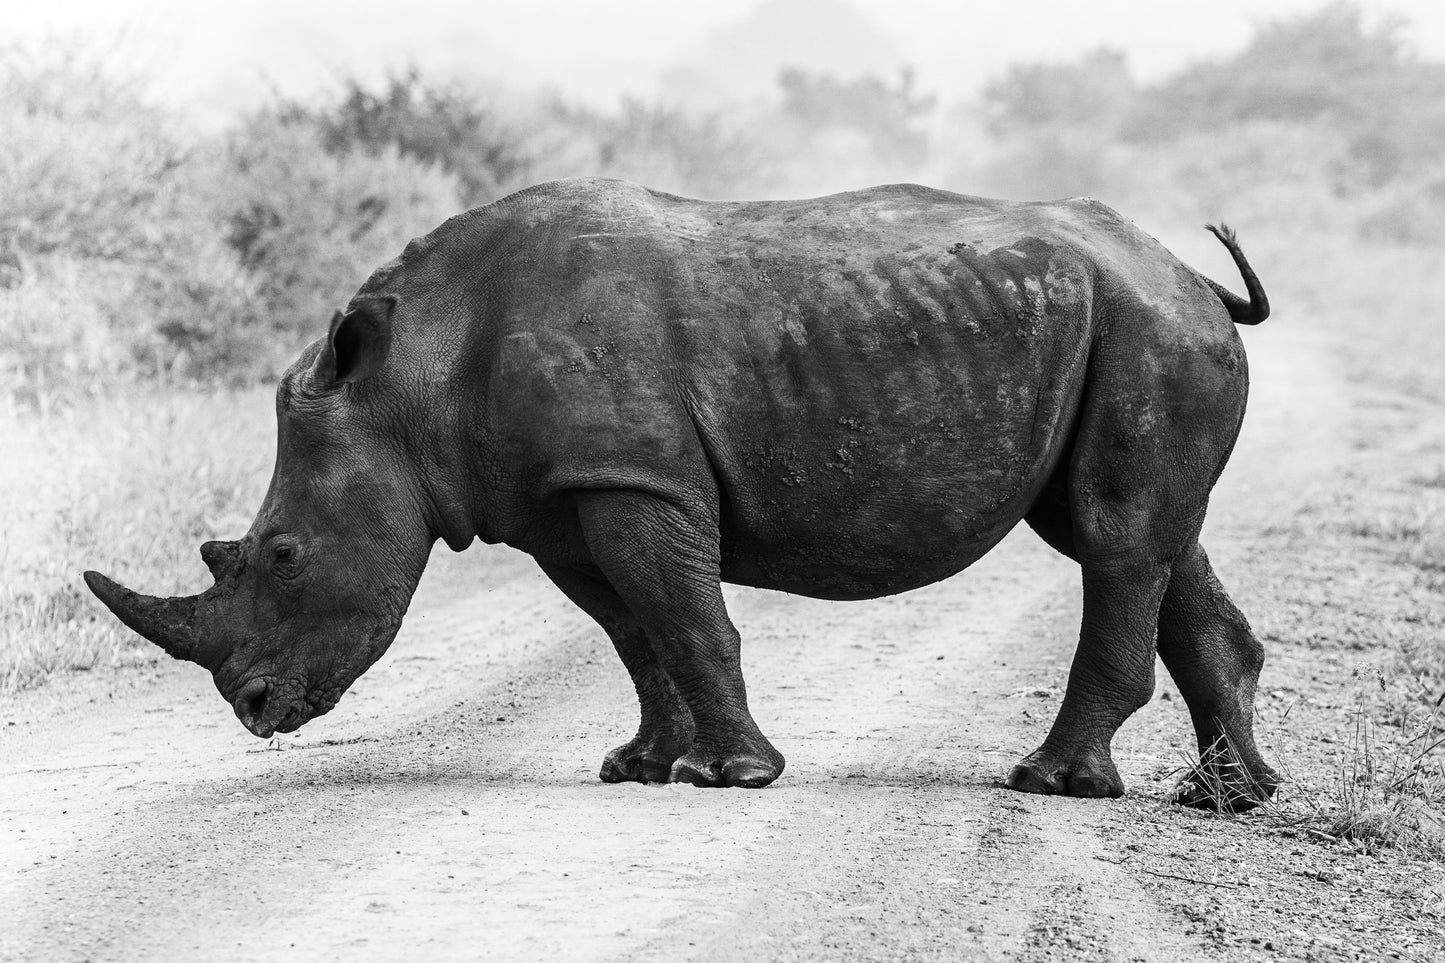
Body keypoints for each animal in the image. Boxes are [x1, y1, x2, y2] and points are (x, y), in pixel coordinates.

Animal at [86, 178, 1278, 809]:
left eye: (284, 556)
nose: (252, 710)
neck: (407, 380)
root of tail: (1191, 274)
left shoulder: (631, 479)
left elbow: (686, 617)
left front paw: (737, 778)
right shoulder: (565, 499)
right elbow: (636, 631)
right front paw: (642, 769)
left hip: (1145, 329)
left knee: (1116, 539)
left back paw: (1048, 783)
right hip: (1136, 329)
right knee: (1141, 536)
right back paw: (1227, 797)